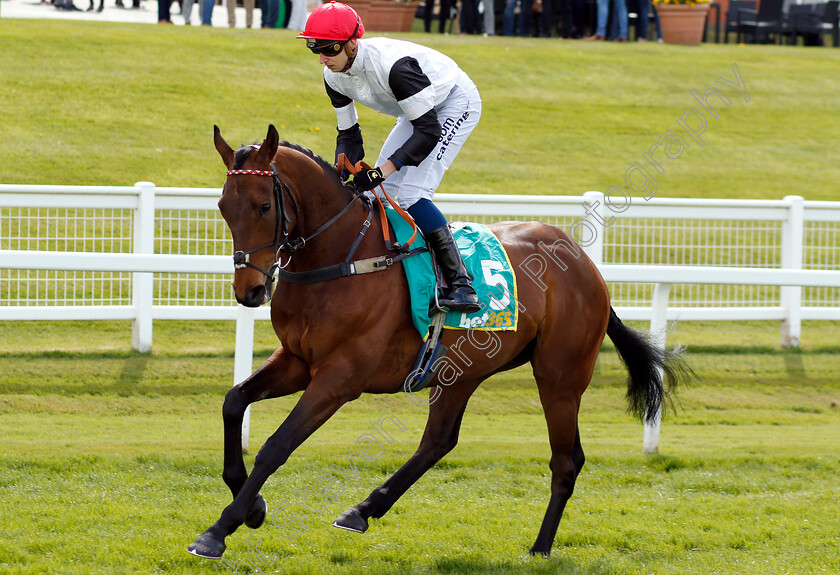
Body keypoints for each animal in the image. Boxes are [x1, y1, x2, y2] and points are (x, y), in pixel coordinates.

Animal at [187, 124, 684, 560]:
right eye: (223, 207)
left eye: (263, 207)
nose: (249, 290)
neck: (341, 257)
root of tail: (584, 262)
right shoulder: (297, 360)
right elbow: (234, 401)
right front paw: (252, 507)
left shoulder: (340, 377)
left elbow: (277, 444)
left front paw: (218, 530)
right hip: (460, 371)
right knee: (438, 441)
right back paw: (363, 509)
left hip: (560, 376)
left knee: (567, 460)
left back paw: (540, 547)